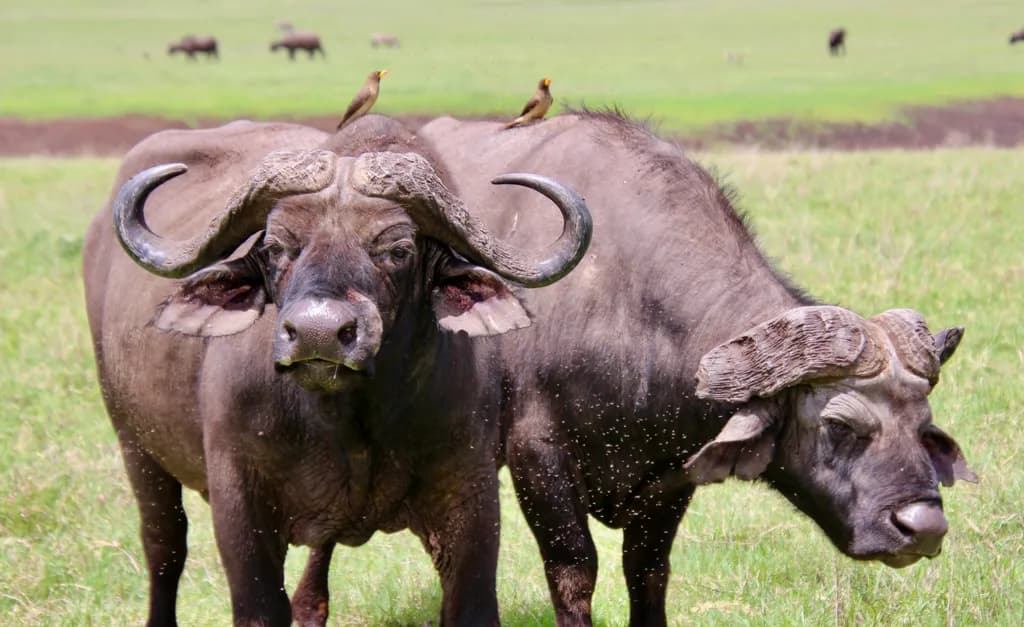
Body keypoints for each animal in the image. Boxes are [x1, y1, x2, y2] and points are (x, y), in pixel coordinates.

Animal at [82, 115, 592, 626]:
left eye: (398, 250)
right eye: (276, 247)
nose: (318, 333)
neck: (350, 423)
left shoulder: (471, 492)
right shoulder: (238, 499)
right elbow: (260, 607)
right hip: (136, 445)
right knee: (164, 548)